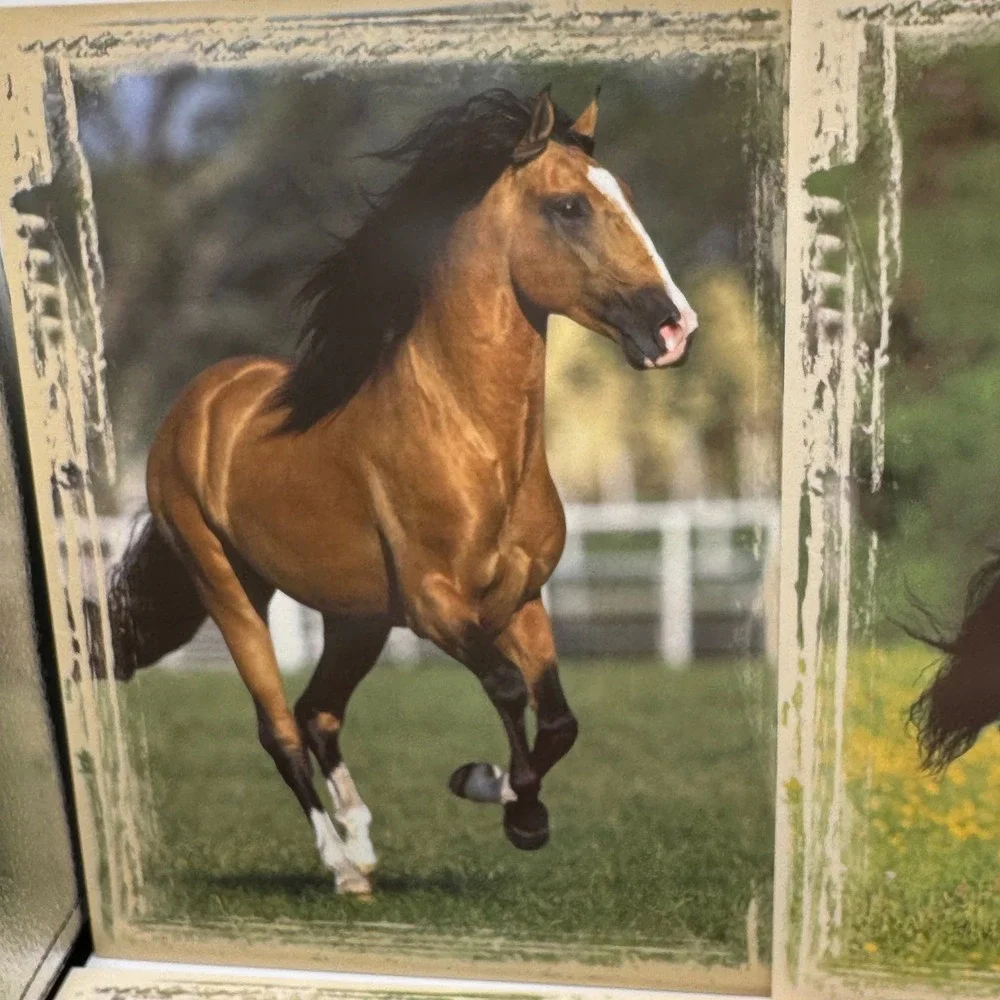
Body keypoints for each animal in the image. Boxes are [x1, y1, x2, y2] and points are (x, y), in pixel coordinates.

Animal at [107, 86, 699, 896]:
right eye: (570, 206)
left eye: (626, 196)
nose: (674, 328)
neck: (474, 443)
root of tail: (194, 404)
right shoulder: (436, 607)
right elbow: (509, 688)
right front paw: (509, 805)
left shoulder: (523, 599)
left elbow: (558, 718)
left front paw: (496, 791)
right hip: (228, 587)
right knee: (279, 727)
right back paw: (341, 866)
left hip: (355, 615)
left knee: (319, 711)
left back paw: (361, 844)